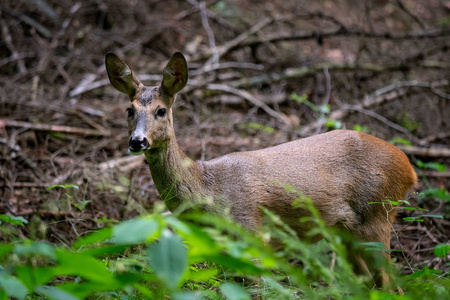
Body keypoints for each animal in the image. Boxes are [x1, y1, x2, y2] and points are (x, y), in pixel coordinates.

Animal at [103, 52, 416, 288]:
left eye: (161, 110)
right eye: (129, 110)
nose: (137, 141)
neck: (209, 189)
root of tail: (408, 167)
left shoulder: (252, 234)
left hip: (377, 215)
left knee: (392, 285)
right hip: (347, 232)